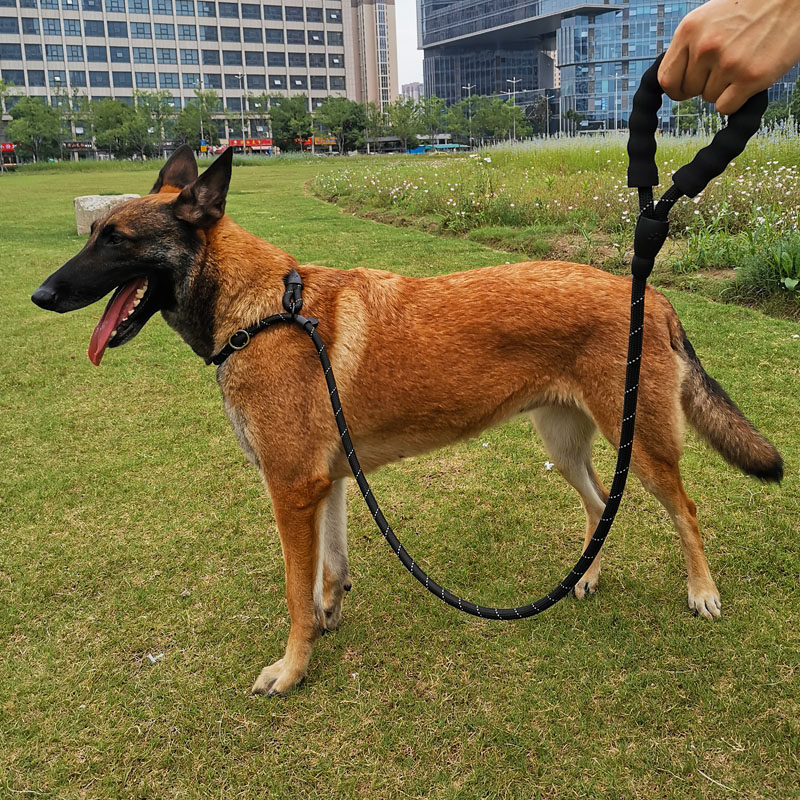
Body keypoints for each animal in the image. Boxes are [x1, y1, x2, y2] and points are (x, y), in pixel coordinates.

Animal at [32, 145, 783, 695]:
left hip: (648, 449)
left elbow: (296, 592)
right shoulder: (328, 483)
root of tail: (650, 294)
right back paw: (587, 576)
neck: (264, 310)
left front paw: (292, 669)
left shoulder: (291, 491)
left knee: (684, 508)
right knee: (602, 503)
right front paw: (329, 618)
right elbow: (331, 570)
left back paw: (702, 592)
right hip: (565, 444)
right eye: (93, 233)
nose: (40, 295)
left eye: (117, 240)